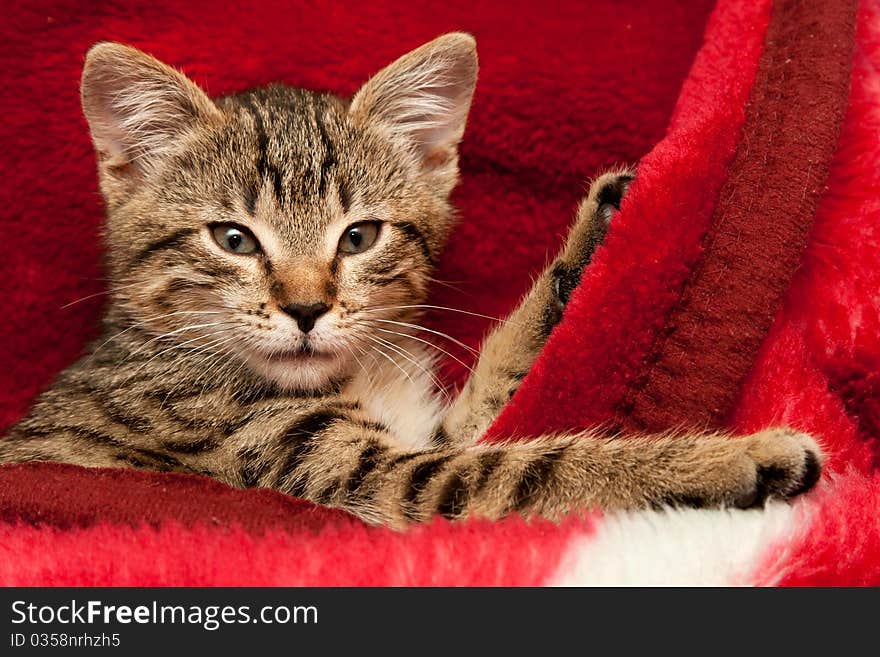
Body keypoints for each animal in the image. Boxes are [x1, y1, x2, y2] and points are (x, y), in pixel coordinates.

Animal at [1, 34, 824, 528]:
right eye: (232, 239)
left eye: (359, 237)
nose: (306, 308)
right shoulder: (370, 475)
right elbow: (538, 467)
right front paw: (731, 460)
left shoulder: (425, 434)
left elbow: (501, 396)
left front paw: (594, 242)